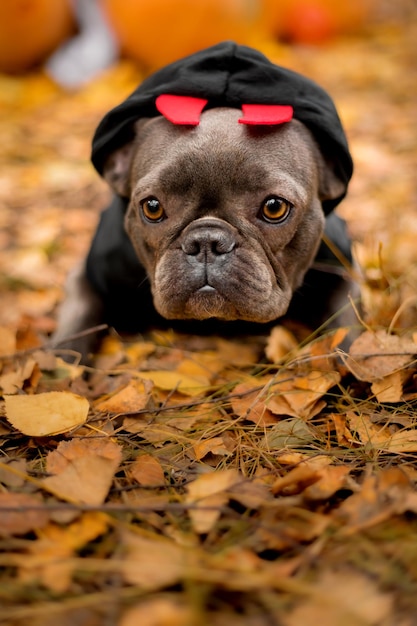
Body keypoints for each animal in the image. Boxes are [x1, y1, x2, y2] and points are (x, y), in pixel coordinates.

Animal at [50, 41, 352, 358]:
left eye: (274, 207)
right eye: (152, 207)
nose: (206, 242)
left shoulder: (341, 276)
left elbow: (348, 330)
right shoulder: (90, 276)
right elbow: (76, 324)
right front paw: (59, 363)